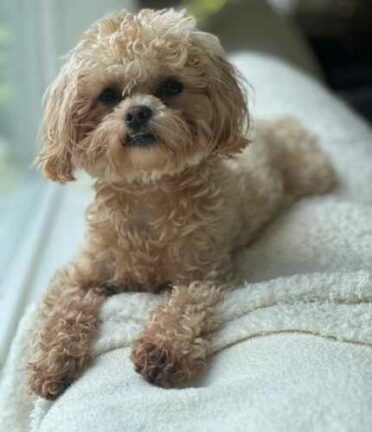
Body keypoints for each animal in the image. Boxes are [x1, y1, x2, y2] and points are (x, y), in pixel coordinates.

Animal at [27, 7, 336, 398]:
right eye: (109, 95)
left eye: (172, 87)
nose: (138, 112)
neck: (148, 192)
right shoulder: (79, 275)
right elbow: (61, 313)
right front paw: (52, 359)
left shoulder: (202, 275)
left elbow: (182, 310)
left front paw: (163, 350)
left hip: (312, 175)